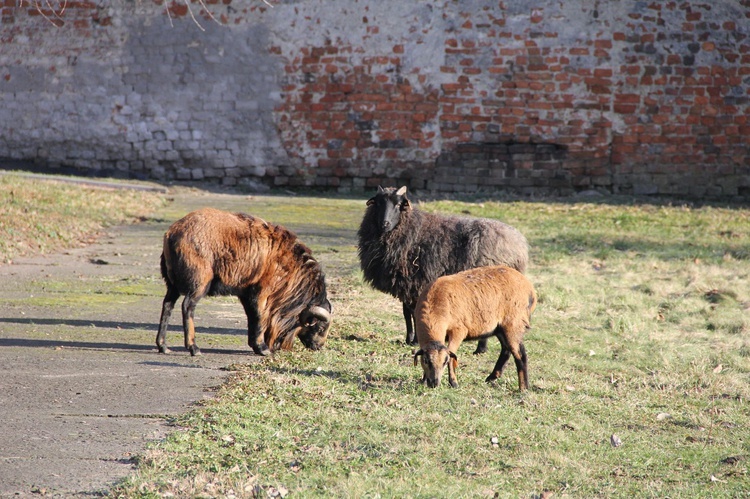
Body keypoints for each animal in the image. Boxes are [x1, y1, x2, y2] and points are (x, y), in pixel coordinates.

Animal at [156, 207, 332, 356]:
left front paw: (255, 346)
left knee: (167, 305)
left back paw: (163, 346)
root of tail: (172, 234)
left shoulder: (247, 293)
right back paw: (193, 347)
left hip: (172, 284)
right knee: (187, 306)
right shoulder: (262, 293)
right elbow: (260, 317)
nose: (319, 346)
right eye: (320, 327)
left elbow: (251, 317)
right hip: (199, 282)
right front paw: (262, 348)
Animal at [356, 185, 528, 352]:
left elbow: (415, 312)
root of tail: (519, 244)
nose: (384, 224)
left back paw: (481, 349)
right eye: (378, 204)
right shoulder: (406, 283)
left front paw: (416, 341)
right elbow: (406, 312)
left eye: (398, 205)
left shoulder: (418, 282)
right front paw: (408, 339)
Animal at [412, 266, 540, 390]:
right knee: (506, 350)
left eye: (445, 361)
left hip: (513, 323)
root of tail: (530, 288)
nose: (434, 383)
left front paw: (454, 383)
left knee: (520, 355)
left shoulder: (459, 330)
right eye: (426, 361)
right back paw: (492, 377)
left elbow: (452, 356)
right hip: (500, 328)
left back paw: (523, 388)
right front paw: (424, 381)